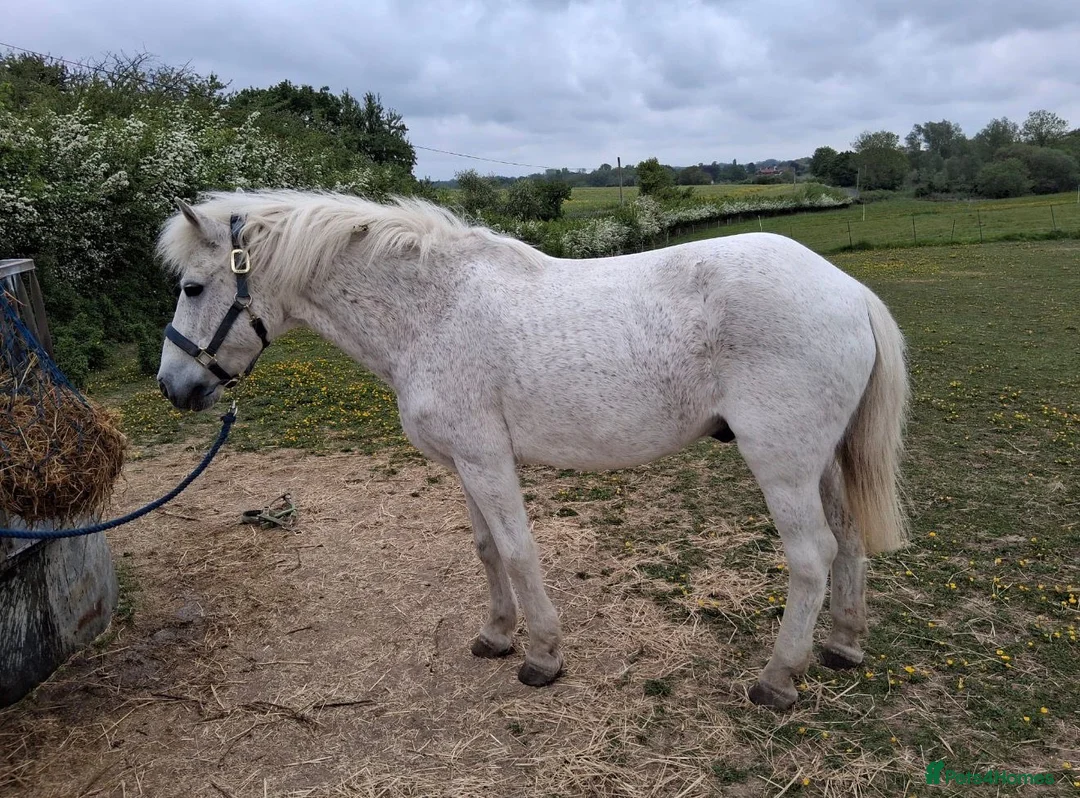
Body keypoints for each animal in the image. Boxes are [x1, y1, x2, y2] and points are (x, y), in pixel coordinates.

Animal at [156, 190, 908, 710]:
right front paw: (495, 635)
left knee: (811, 557)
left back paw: (778, 679)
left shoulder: (488, 461)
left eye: (193, 287)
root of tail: (847, 290)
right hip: (823, 462)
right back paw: (842, 645)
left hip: (782, 464)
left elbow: (519, 552)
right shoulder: (465, 463)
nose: (173, 386)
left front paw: (543, 656)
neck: (433, 312)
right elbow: (488, 550)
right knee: (847, 542)